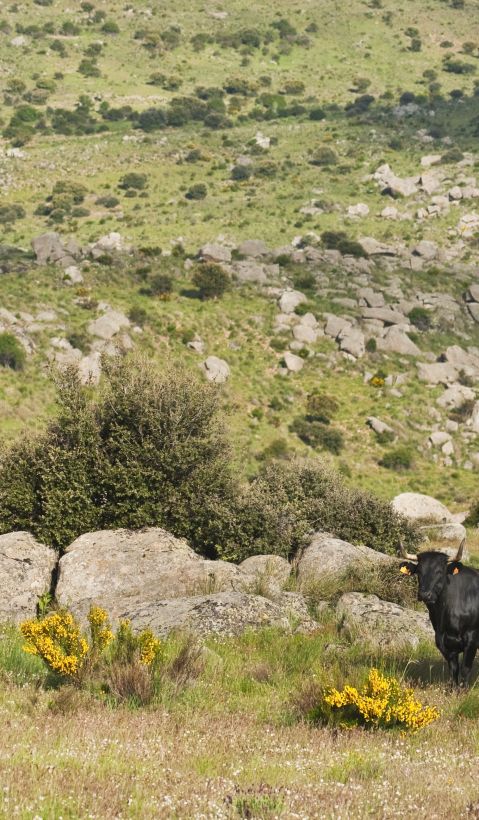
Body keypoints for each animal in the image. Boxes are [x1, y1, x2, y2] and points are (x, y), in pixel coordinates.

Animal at [399, 538, 479, 686]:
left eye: (440, 571)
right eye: (418, 571)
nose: (425, 594)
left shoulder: (472, 637)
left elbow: (465, 669)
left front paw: (463, 689)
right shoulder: (442, 640)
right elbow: (454, 670)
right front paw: (454, 688)